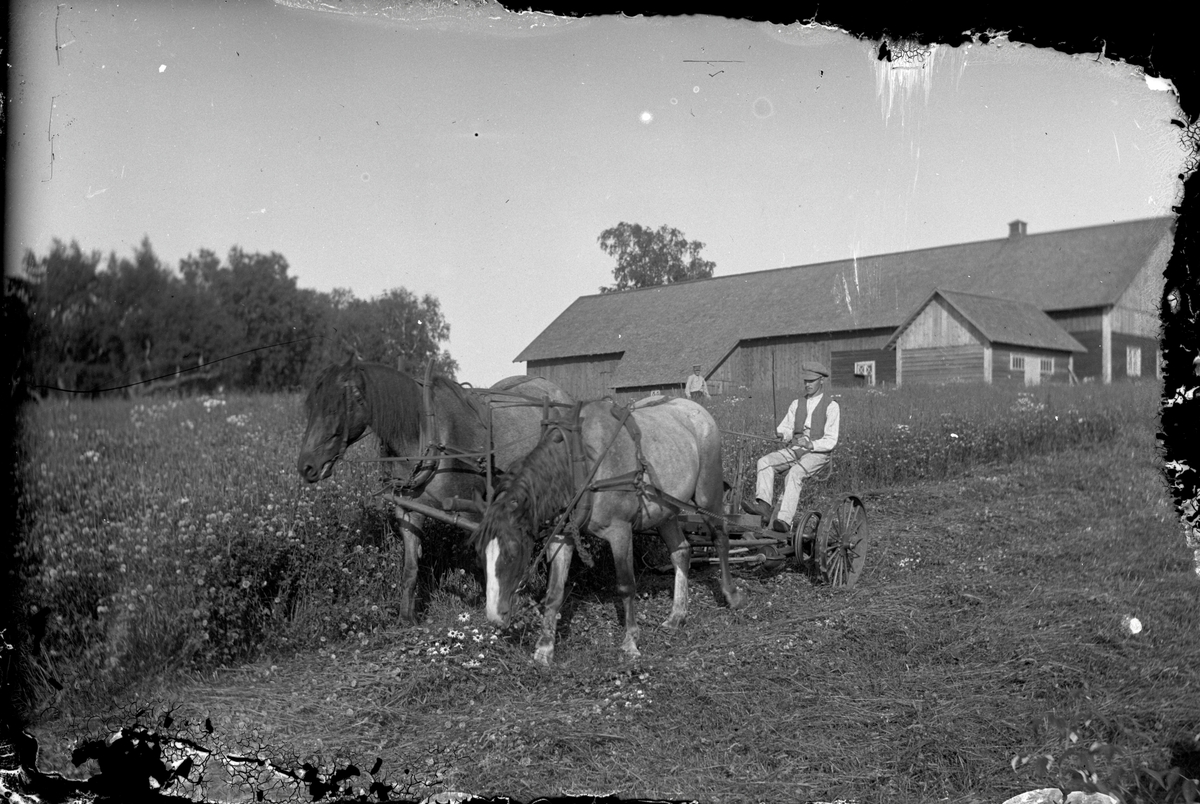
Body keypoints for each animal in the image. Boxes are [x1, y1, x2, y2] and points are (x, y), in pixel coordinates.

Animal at [292, 355, 568, 628]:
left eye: (333, 408)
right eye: (311, 407)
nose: (306, 466)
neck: (426, 434)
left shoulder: (475, 512)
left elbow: (485, 560)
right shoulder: (408, 509)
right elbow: (410, 568)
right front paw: (406, 618)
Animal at [470, 398, 744, 667]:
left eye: (512, 553)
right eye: (480, 554)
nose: (494, 616)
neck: (581, 462)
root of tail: (696, 408)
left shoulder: (620, 531)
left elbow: (626, 585)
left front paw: (631, 642)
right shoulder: (561, 536)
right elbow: (554, 592)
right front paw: (545, 649)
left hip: (708, 495)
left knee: (720, 538)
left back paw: (731, 595)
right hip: (665, 510)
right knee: (681, 551)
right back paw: (677, 615)